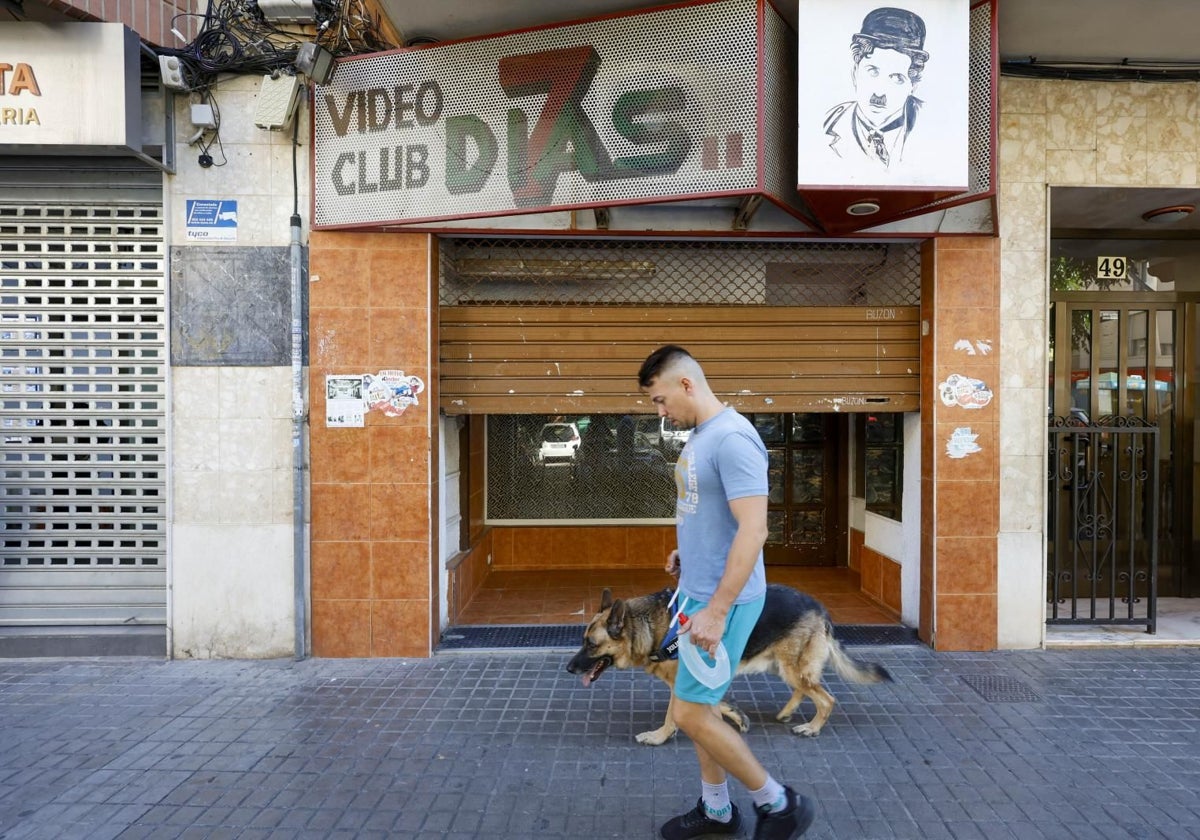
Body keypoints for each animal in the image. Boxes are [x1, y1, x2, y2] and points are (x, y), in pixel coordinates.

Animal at [564, 583, 892, 739]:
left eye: (590, 644)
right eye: (583, 640)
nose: (568, 668)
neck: (651, 626)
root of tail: (820, 608)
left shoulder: (683, 683)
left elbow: (672, 717)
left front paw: (658, 737)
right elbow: (715, 704)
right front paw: (734, 714)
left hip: (791, 667)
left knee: (826, 698)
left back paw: (811, 728)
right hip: (783, 666)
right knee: (805, 689)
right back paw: (787, 713)